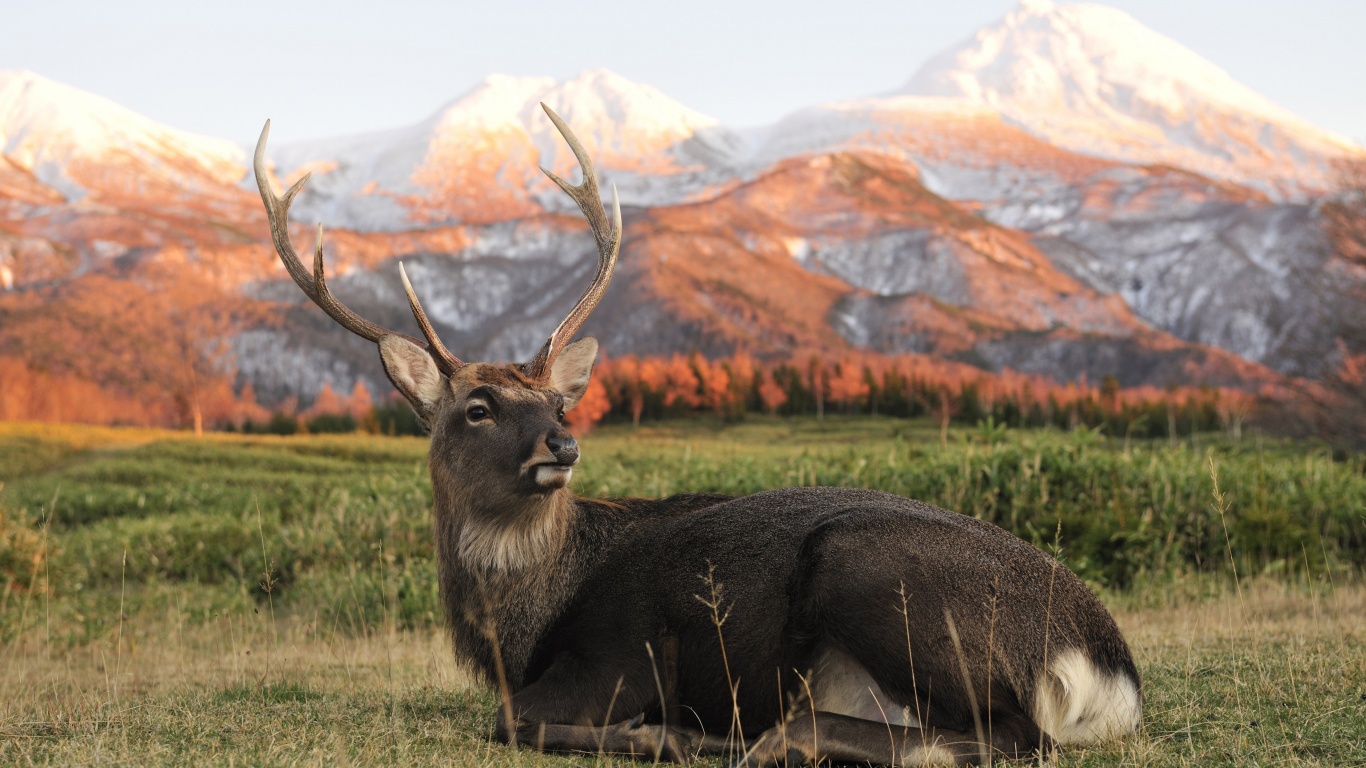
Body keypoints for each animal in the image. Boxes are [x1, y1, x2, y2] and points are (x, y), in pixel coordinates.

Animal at [254, 104, 1141, 759]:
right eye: (478, 409)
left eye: (559, 407)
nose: (561, 447)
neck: (519, 629)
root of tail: (1109, 668)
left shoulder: (622, 656)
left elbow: (511, 720)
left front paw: (664, 733)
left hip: (870, 570)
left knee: (1009, 736)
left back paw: (752, 738)